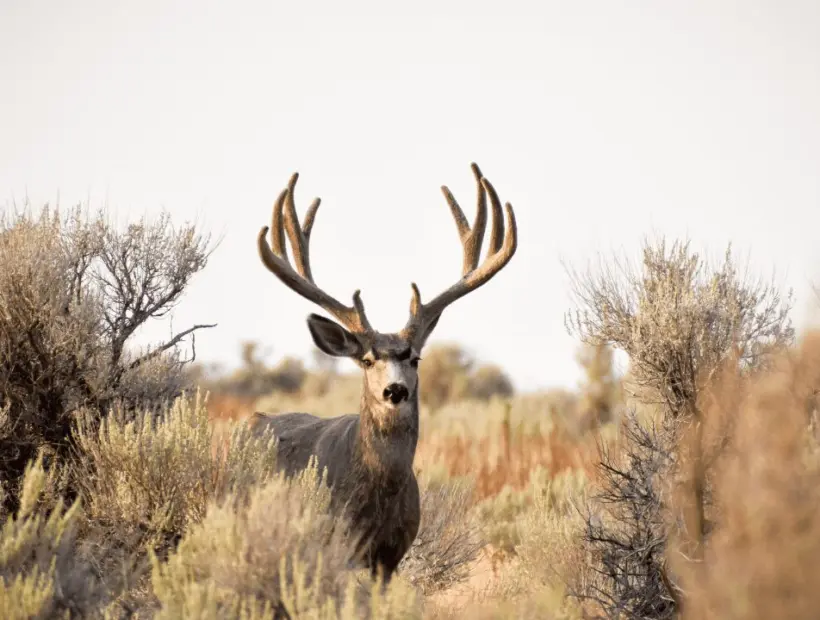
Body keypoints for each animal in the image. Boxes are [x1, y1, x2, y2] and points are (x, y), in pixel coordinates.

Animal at [251, 163, 518, 581]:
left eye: (415, 358)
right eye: (367, 360)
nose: (395, 390)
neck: (376, 496)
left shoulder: (391, 555)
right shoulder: (338, 542)